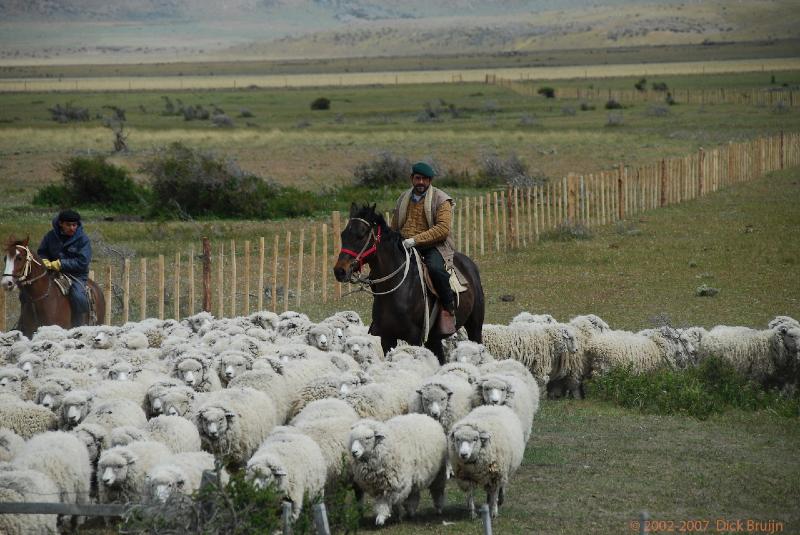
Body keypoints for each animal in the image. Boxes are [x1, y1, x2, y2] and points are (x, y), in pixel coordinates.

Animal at [334, 205, 484, 364]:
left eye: (361, 235)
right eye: (343, 235)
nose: (340, 271)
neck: (399, 290)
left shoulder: (414, 338)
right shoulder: (387, 338)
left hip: (474, 327)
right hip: (433, 339)